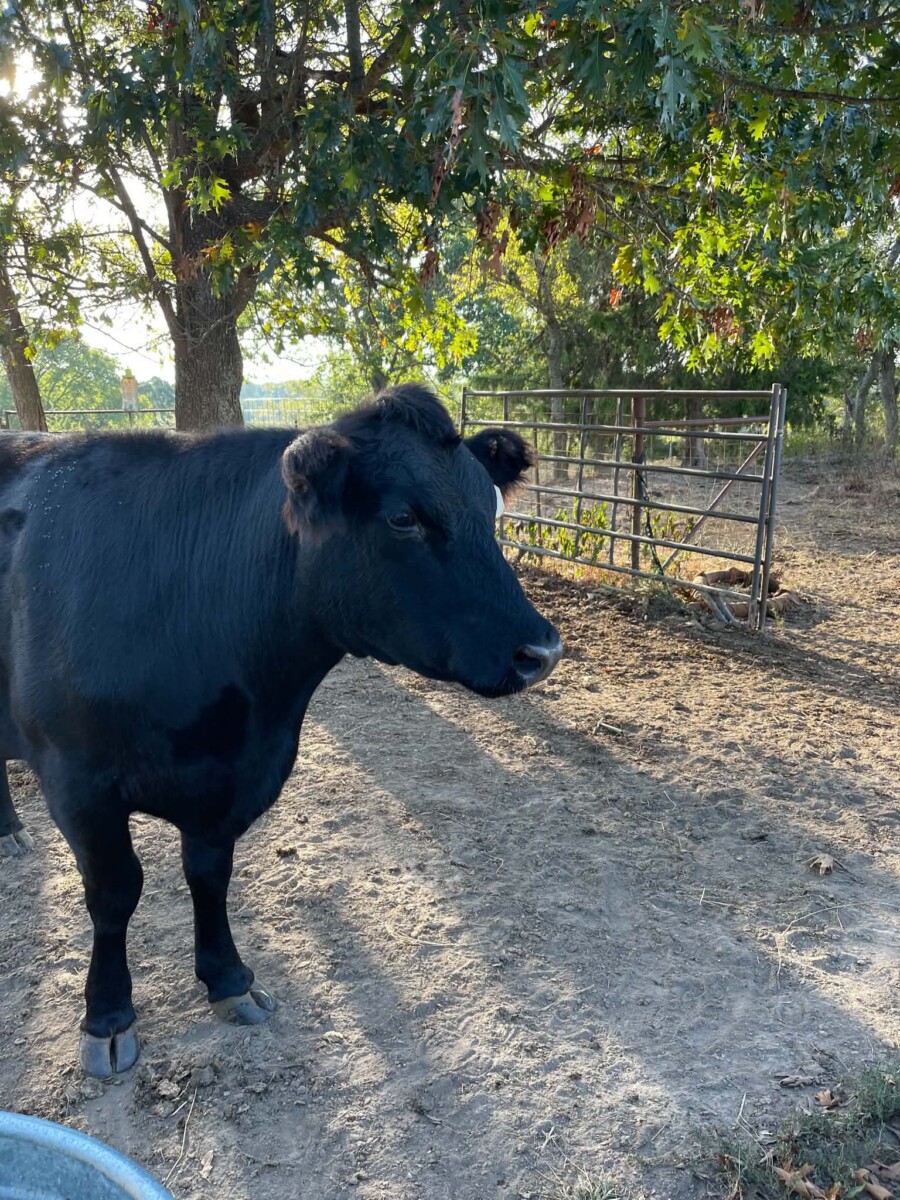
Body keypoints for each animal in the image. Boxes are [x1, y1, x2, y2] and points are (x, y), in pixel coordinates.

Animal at [0, 384, 562, 1078]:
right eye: (403, 518)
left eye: (492, 509)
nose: (542, 650)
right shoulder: (77, 781)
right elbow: (115, 892)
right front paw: (107, 1018)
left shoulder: (240, 775)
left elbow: (210, 874)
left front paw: (228, 981)